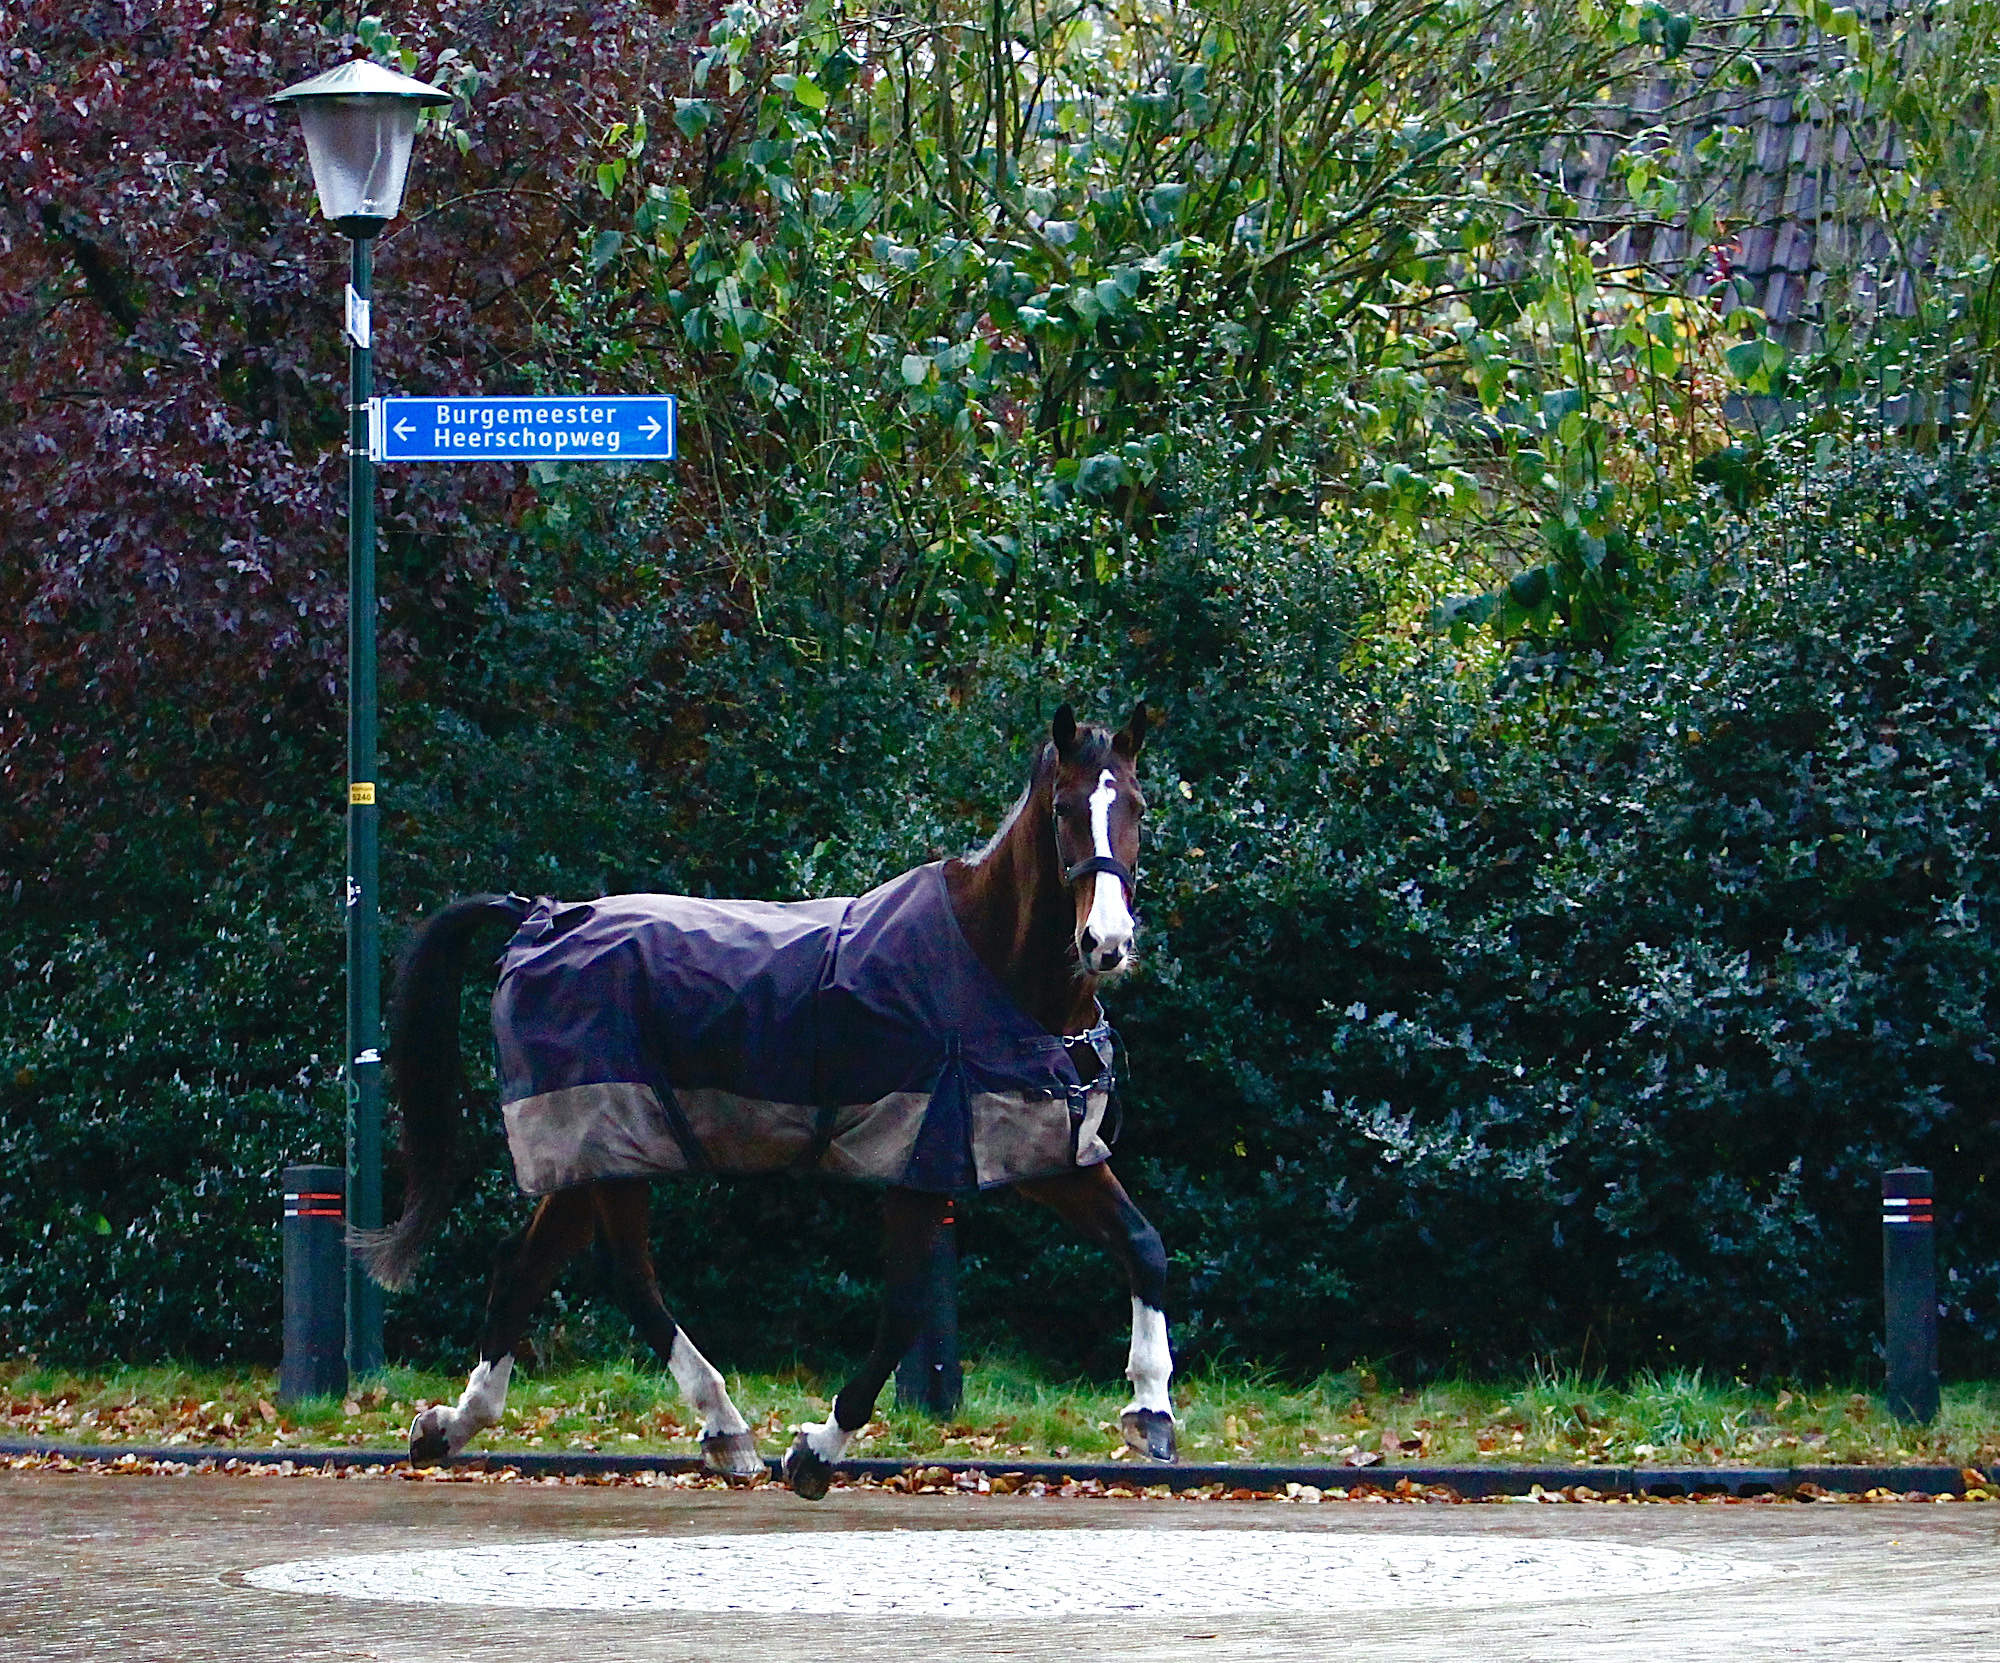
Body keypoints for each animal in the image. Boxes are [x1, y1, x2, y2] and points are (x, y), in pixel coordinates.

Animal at [354, 702, 1174, 1499]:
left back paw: (453, 1425)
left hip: (590, 1150)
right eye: (1064, 808)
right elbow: (905, 1311)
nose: (1106, 941)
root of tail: (540, 915)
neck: (986, 960)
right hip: (609, 1138)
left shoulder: (1044, 1151)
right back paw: (723, 1426)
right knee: (627, 1277)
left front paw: (1152, 1411)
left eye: (1137, 804)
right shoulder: (918, 1162)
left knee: (529, 1265)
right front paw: (816, 1449)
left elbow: (1143, 1244)